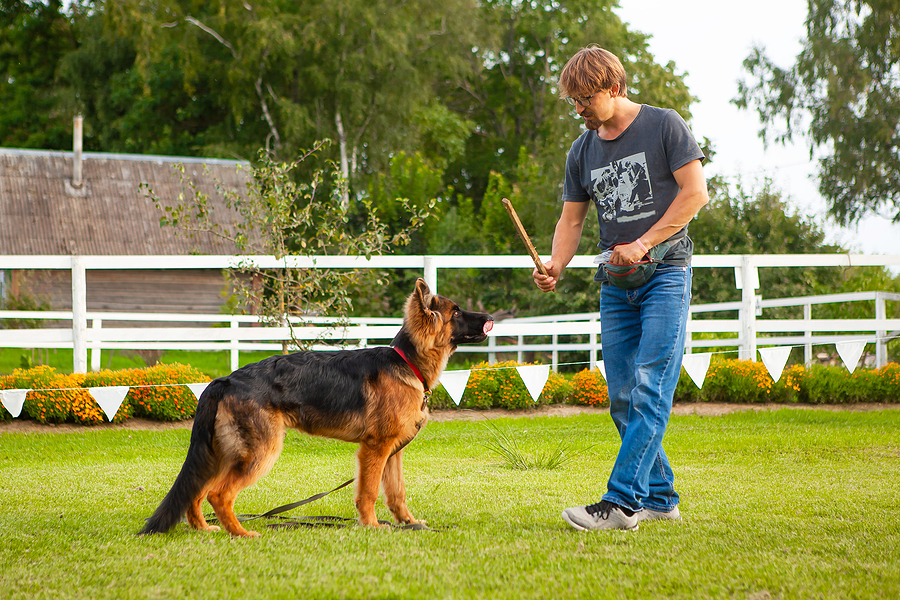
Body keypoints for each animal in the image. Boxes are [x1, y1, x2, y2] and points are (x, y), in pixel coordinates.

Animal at [139, 278, 492, 536]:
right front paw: (372, 526)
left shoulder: (394, 453)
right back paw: (240, 533)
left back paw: (205, 529)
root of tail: (225, 379)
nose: (489, 319)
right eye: (456, 312)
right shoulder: (375, 450)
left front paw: (408, 524)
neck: (407, 362)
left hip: (224, 454)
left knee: (197, 492)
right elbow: (368, 493)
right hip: (259, 453)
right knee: (218, 494)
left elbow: (397, 493)